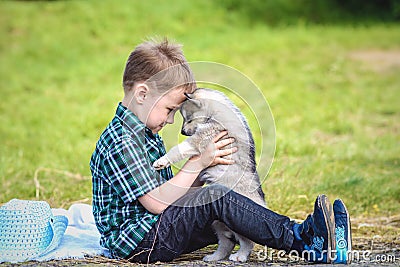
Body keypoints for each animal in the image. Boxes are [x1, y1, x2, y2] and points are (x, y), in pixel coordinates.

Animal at [153, 88, 266, 264]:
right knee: (226, 242)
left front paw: (161, 161)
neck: (215, 113)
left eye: (189, 118)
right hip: (217, 222)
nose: (182, 132)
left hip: (238, 225)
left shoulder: (201, 139)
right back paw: (214, 257)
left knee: (247, 242)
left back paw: (240, 256)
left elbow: (178, 149)